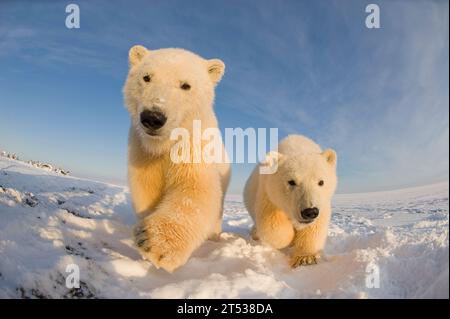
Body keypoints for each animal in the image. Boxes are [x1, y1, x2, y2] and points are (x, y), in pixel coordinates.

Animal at [123, 45, 230, 274]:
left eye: (186, 85)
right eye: (146, 77)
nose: (153, 117)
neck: (164, 144)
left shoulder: (194, 144)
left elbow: (196, 190)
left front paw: (153, 241)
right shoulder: (143, 150)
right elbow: (147, 188)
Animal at [244, 135, 336, 268]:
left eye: (321, 182)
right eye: (291, 182)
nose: (310, 211)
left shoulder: (322, 202)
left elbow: (315, 226)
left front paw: (305, 258)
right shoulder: (269, 193)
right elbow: (272, 223)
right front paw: (290, 239)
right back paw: (255, 233)